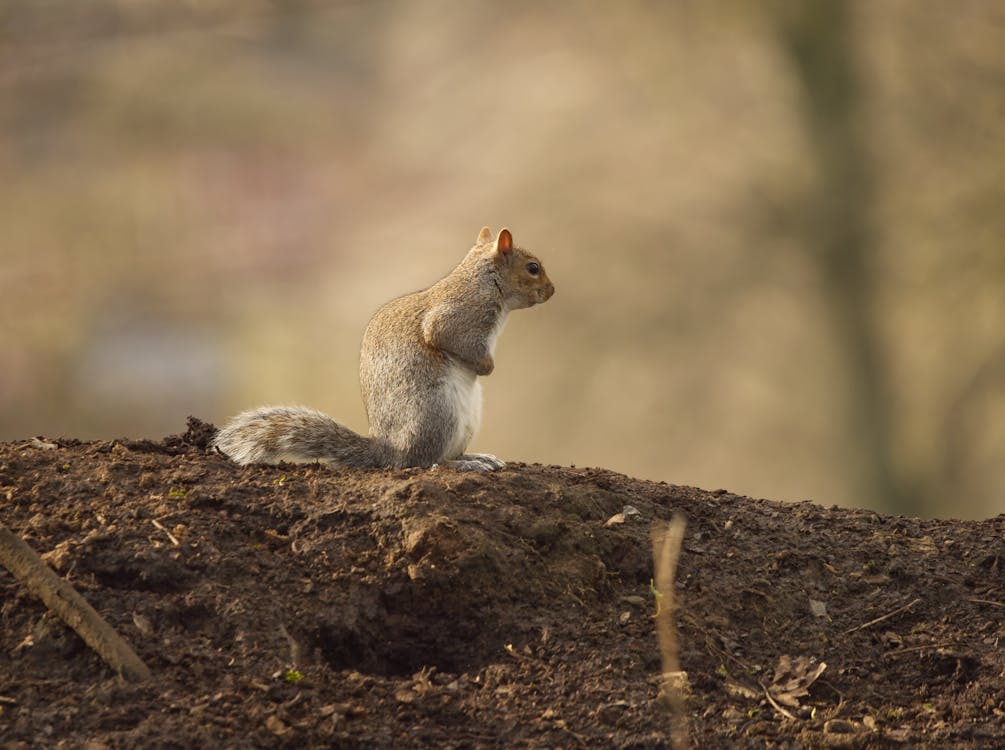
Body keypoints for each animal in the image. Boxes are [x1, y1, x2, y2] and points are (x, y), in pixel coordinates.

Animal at [215, 225, 554, 470]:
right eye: (533, 268)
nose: (551, 291)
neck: (484, 282)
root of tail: (387, 451)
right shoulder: (458, 318)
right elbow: (448, 338)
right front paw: (487, 367)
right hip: (436, 414)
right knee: (423, 462)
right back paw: (463, 466)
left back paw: (475, 458)